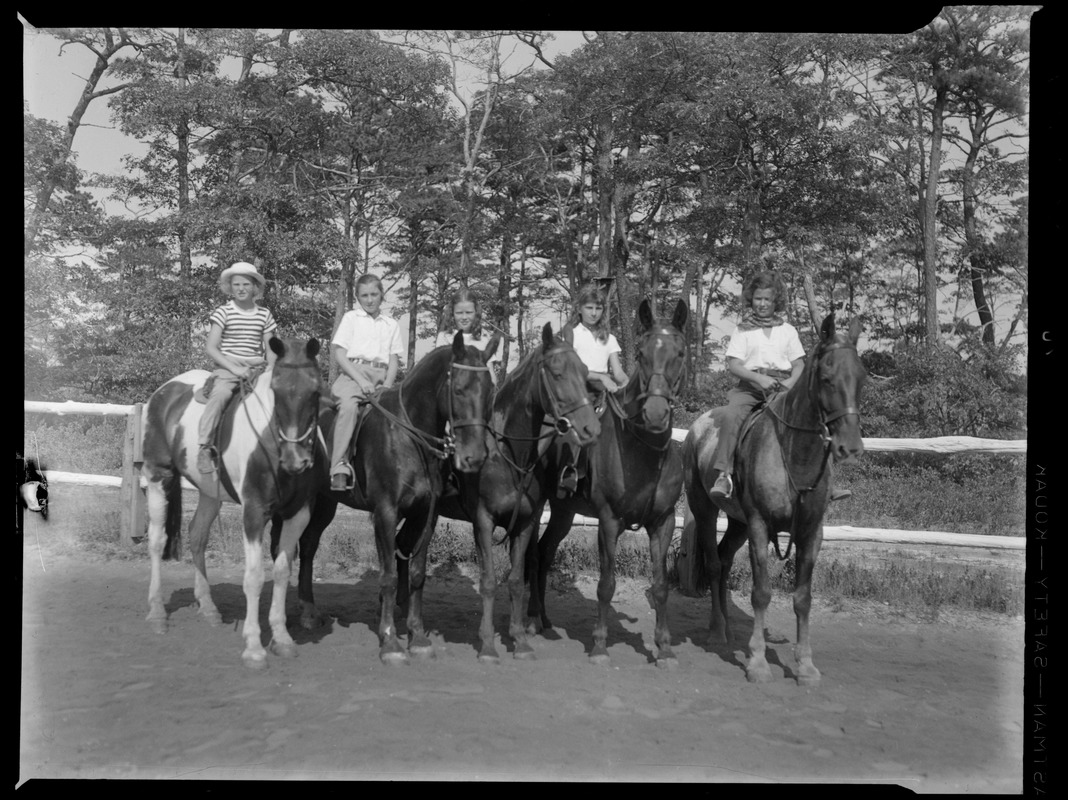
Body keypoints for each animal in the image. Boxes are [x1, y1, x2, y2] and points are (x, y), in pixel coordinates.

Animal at [144, 337, 322, 666]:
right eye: (275, 391)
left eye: (316, 391)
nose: (296, 461)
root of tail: (163, 392)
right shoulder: (254, 512)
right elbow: (254, 577)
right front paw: (253, 646)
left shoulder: (298, 514)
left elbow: (282, 572)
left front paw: (282, 639)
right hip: (157, 475)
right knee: (157, 540)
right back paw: (157, 613)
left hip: (208, 493)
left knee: (197, 535)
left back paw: (209, 609)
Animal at [271, 331, 495, 662]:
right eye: (458, 389)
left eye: (489, 391)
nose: (474, 457)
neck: (409, 435)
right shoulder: (386, 513)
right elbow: (388, 575)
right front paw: (390, 641)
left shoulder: (425, 516)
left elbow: (417, 574)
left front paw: (417, 637)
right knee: (280, 548)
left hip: (324, 503)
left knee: (309, 546)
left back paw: (309, 613)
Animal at [433, 320, 602, 666]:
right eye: (556, 372)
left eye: (583, 371)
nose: (590, 429)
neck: (508, 455)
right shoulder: (483, 522)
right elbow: (487, 582)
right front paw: (487, 645)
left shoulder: (525, 523)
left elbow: (514, 580)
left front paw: (520, 640)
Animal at [529, 296, 687, 666]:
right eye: (641, 353)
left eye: (680, 352)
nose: (655, 414)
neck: (642, 452)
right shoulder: (609, 520)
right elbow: (606, 584)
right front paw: (600, 645)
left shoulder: (663, 522)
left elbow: (661, 587)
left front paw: (665, 648)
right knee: (533, 554)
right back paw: (530, 621)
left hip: (563, 512)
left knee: (544, 551)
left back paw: (542, 619)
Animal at [683, 309, 867, 679]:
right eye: (826, 377)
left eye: (861, 377)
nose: (850, 447)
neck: (794, 454)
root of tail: (697, 428)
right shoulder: (758, 524)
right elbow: (762, 593)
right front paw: (756, 662)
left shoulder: (811, 531)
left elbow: (803, 597)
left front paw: (805, 665)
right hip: (707, 510)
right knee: (713, 563)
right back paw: (717, 631)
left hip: (737, 522)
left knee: (724, 559)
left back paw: (727, 626)